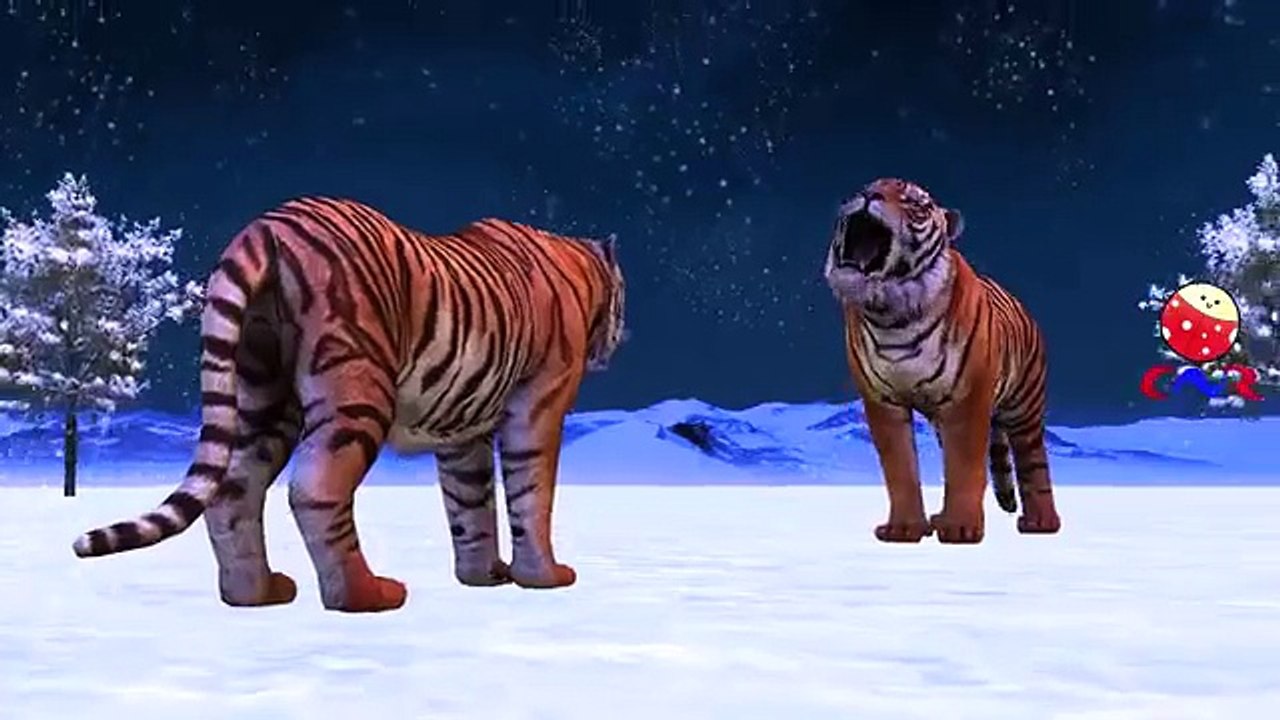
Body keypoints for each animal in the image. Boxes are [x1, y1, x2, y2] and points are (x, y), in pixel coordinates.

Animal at [71, 197, 627, 613]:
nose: (620, 339)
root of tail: (264, 227)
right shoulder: (539, 403)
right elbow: (532, 494)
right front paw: (545, 577)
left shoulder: (461, 429)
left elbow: (469, 505)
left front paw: (484, 576)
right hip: (356, 386)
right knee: (315, 489)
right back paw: (365, 595)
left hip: (262, 395)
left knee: (232, 490)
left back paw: (255, 593)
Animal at [823, 177, 1061, 545]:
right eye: (866, 187)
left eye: (914, 203)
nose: (867, 196)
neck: (891, 314)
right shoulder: (882, 401)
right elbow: (900, 469)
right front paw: (904, 529)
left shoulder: (968, 399)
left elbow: (965, 467)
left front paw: (960, 528)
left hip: (1024, 406)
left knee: (1032, 461)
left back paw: (1041, 522)